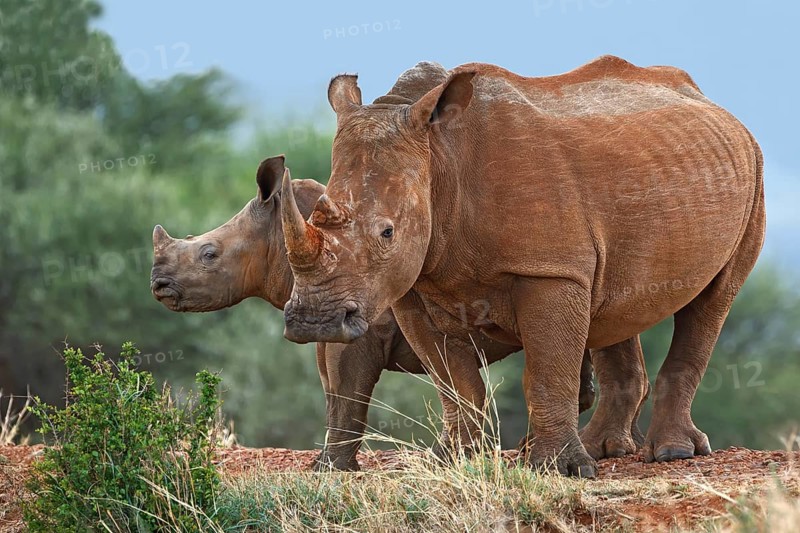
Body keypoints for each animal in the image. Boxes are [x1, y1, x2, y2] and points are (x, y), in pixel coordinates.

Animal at [279, 56, 765, 477]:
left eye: (387, 233)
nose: (314, 322)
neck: (441, 159)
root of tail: (708, 101)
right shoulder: (412, 286)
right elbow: (454, 382)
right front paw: (457, 461)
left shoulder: (549, 270)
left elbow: (547, 372)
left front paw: (560, 470)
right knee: (615, 303)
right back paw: (603, 450)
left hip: (753, 174)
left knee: (715, 297)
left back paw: (670, 454)